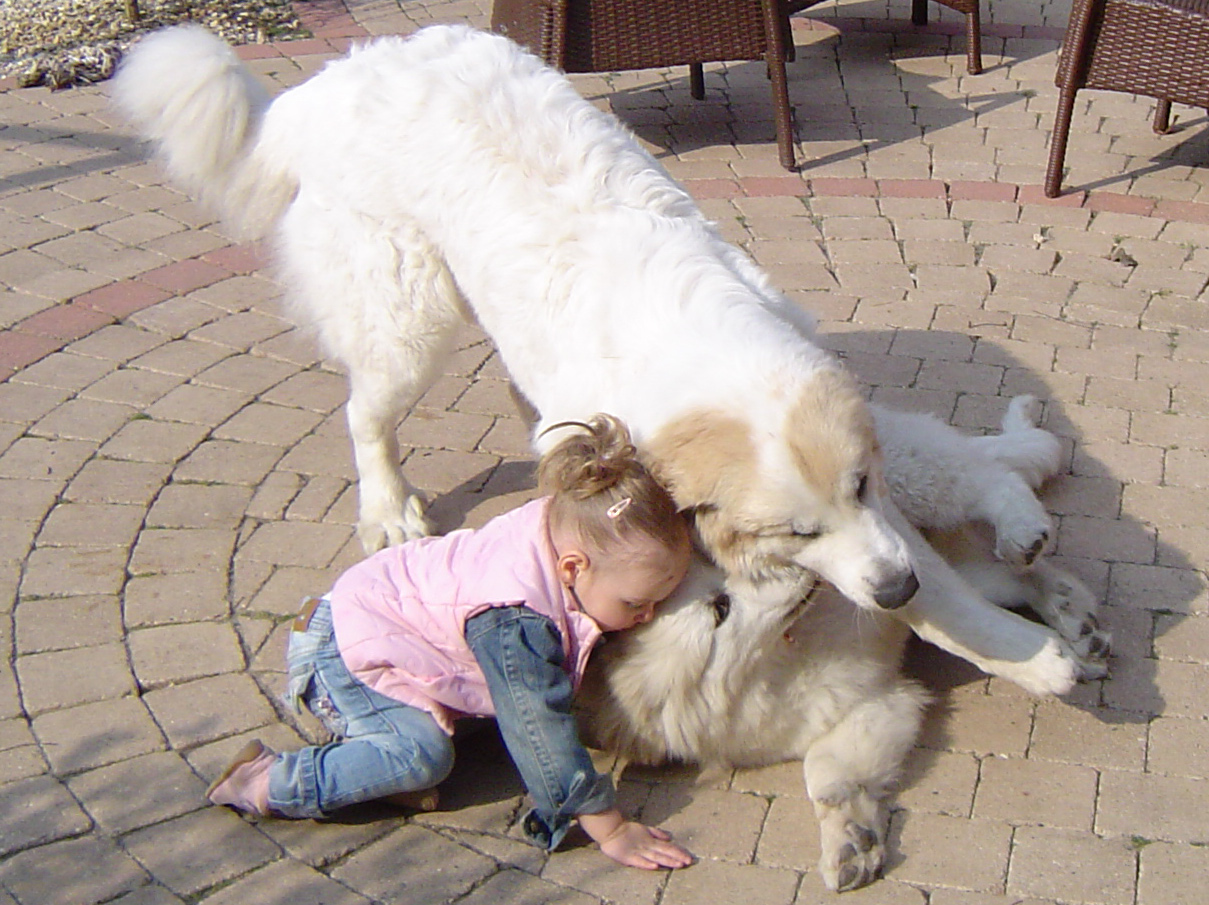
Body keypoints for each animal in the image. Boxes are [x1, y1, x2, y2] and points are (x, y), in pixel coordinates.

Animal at [115, 24, 1107, 695]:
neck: (691, 348)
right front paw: (1027, 653)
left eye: (858, 489)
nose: (893, 583)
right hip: (409, 317)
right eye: (794, 532)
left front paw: (1004, 618)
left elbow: (933, 542)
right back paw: (389, 509)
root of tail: (332, 75)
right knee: (365, 411)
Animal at [580, 396, 1107, 889]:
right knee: (1015, 575)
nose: (796, 569)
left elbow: (820, 770)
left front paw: (848, 840)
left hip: (912, 491)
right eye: (720, 608)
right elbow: (831, 773)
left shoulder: (879, 688)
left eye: (718, 564)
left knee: (996, 487)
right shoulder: (873, 706)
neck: (776, 661)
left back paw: (1031, 550)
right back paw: (1080, 626)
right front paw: (851, 839)